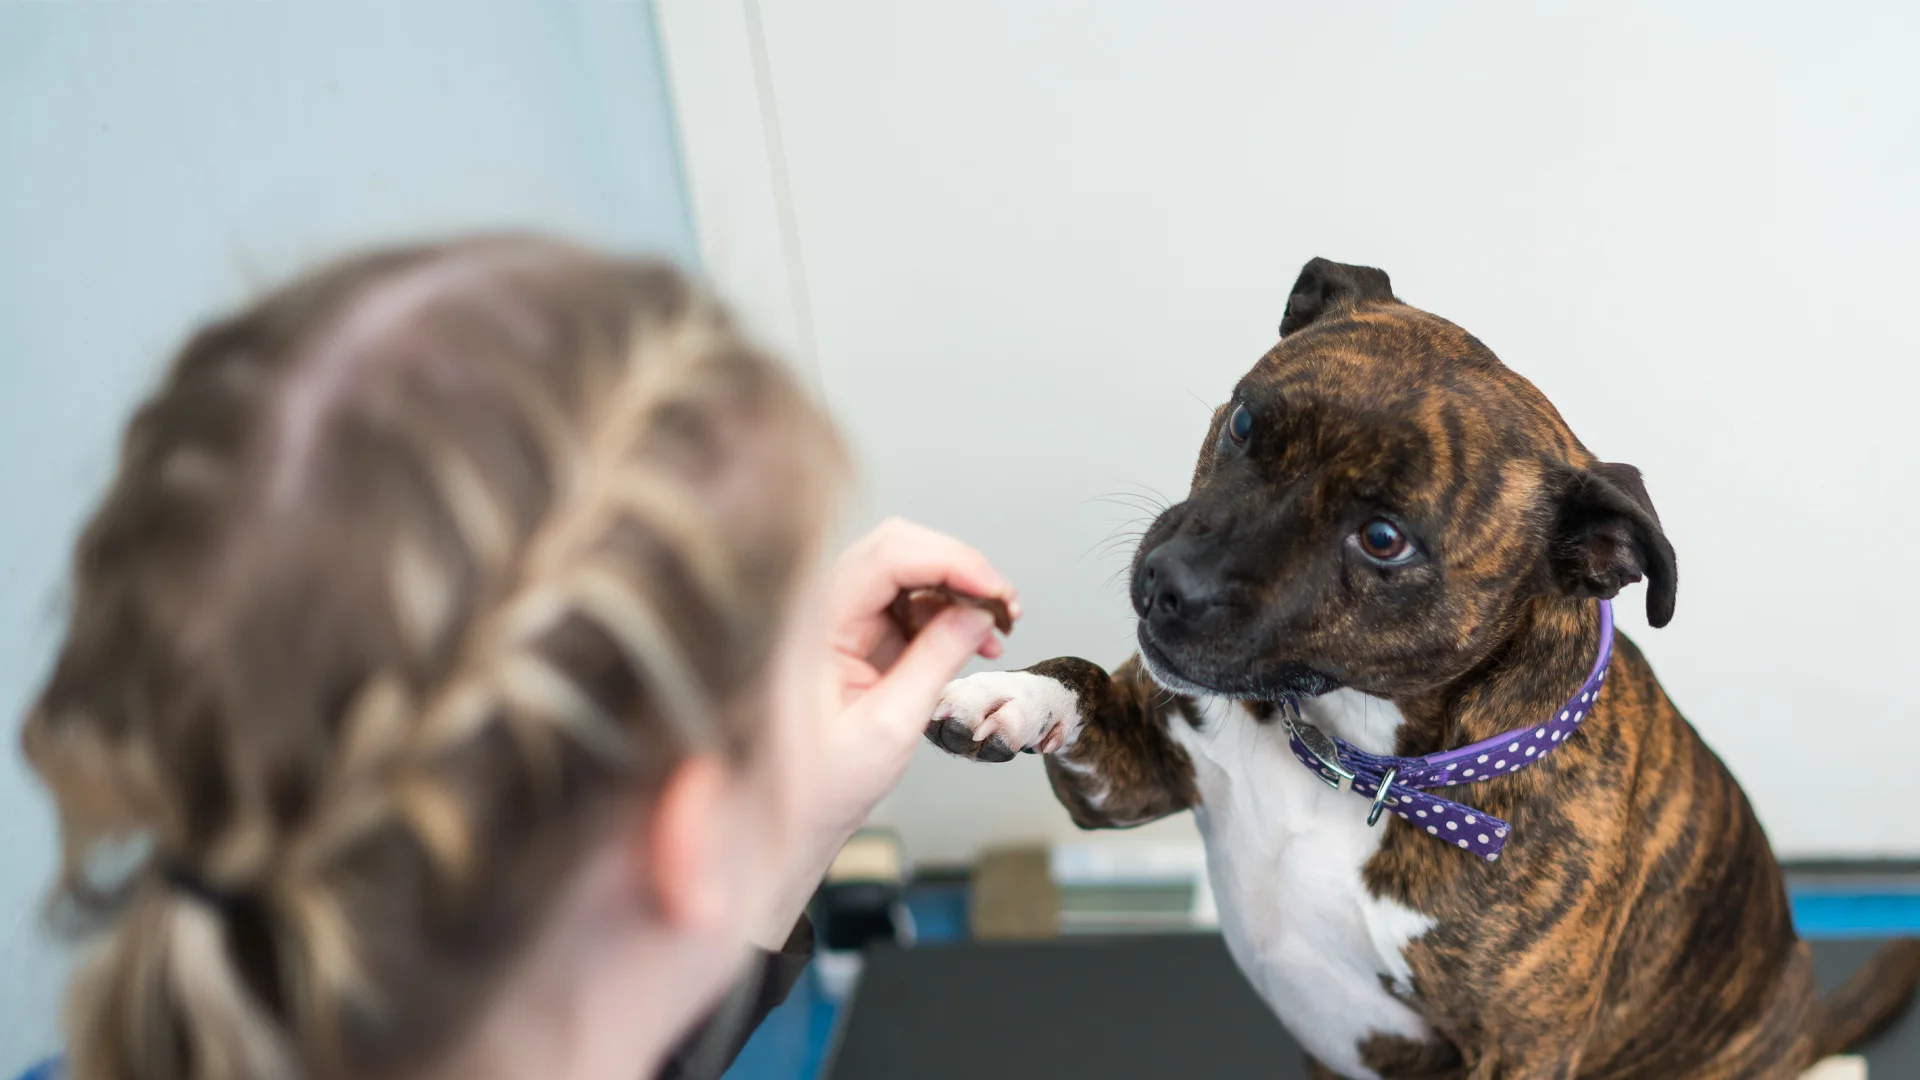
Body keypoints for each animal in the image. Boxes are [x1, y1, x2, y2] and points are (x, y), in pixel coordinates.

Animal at [921, 261, 1912, 1076]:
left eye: (1385, 540)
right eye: (1244, 422)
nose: (1172, 583)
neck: (1358, 757)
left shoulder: (1518, 1054)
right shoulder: (1130, 779)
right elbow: (1083, 683)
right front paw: (1009, 695)